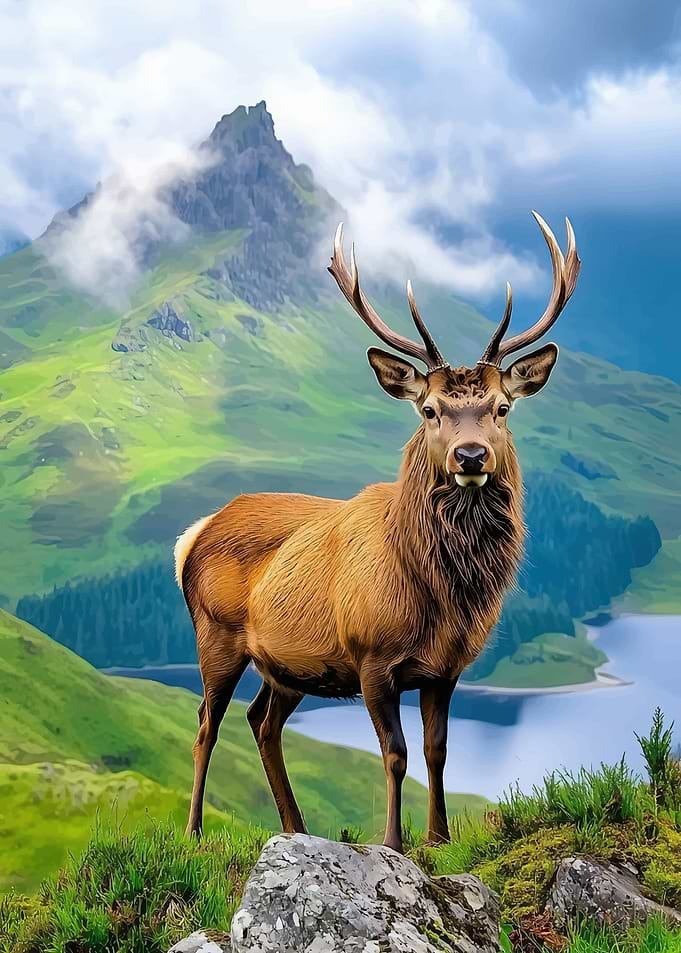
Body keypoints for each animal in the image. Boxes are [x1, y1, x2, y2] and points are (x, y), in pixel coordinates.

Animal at [175, 211, 580, 853]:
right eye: (430, 410)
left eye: (501, 408)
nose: (471, 455)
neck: (442, 599)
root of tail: (193, 534)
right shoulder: (370, 657)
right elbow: (395, 753)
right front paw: (393, 841)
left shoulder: (447, 668)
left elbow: (438, 751)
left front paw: (438, 838)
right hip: (214, 634)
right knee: (206, 724)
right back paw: (192, 831)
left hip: (287, 665)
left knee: (261, 721)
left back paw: (296, 828)